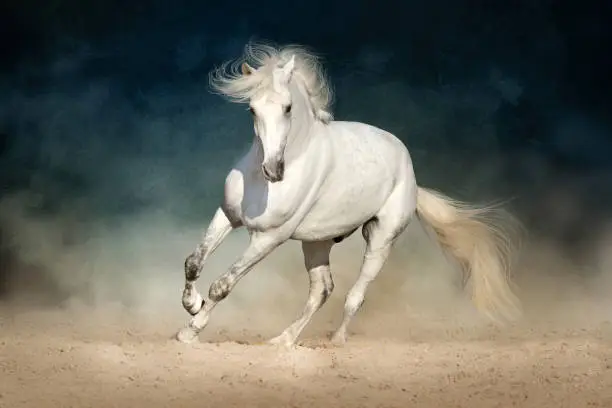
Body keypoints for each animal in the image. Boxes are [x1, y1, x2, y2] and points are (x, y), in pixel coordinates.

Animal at [176, 42, 520, 348]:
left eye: (288, 108)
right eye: (252, 109)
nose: (273, 170)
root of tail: (411, 177)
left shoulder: (269, 238)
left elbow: (223, 285)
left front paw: (189, 331)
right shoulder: (228, 216)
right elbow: (194, 262)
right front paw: (192, 305)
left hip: (380, 239)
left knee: (355, 295)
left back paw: (336, 340)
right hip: (316, 242)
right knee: (322, 290)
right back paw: (283, 340)